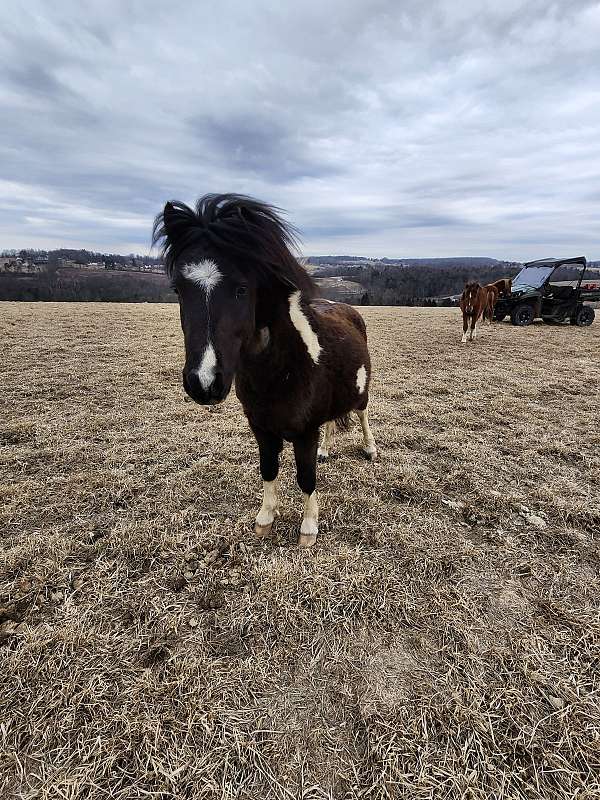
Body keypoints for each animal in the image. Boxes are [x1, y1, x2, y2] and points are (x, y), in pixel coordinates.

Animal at [152, 195, 378, 548]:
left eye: (242, 289)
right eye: (178, 289)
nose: (203, 382)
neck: (281, 369)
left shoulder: (304, 432)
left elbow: (305, 476)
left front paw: (308, 528)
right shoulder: (261, 427)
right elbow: (268, 469)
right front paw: (265, 519)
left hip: (361, 391)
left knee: (363, 413)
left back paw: (369, 448)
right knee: (332, 423)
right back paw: (327, 450)